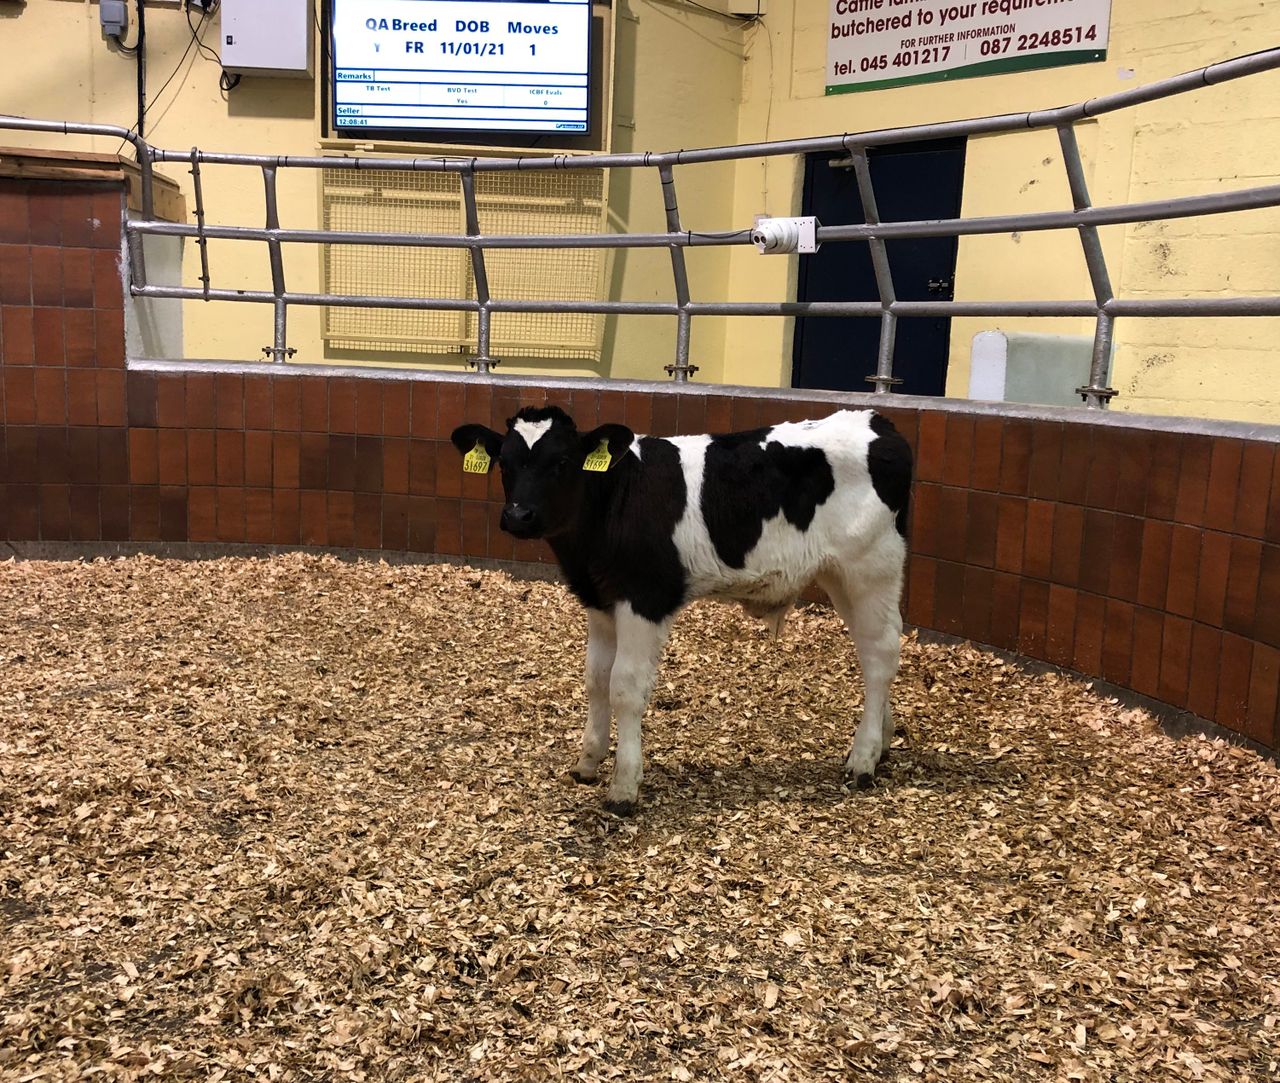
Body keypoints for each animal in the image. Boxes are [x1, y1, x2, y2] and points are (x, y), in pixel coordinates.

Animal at [451, 405, 912, 815]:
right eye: (504, 462)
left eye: (562, 461)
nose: (518, 515)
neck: (615, 497)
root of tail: (879, 421)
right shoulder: (601, 599)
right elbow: (596, 678)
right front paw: (588, 762)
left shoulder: (645, 598)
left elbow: (624, 686)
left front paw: (624, 787)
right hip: (842, 578)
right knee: (872, 652)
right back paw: (881, 742)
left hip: (872, 568)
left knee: (880, 656)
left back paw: (863, 759)